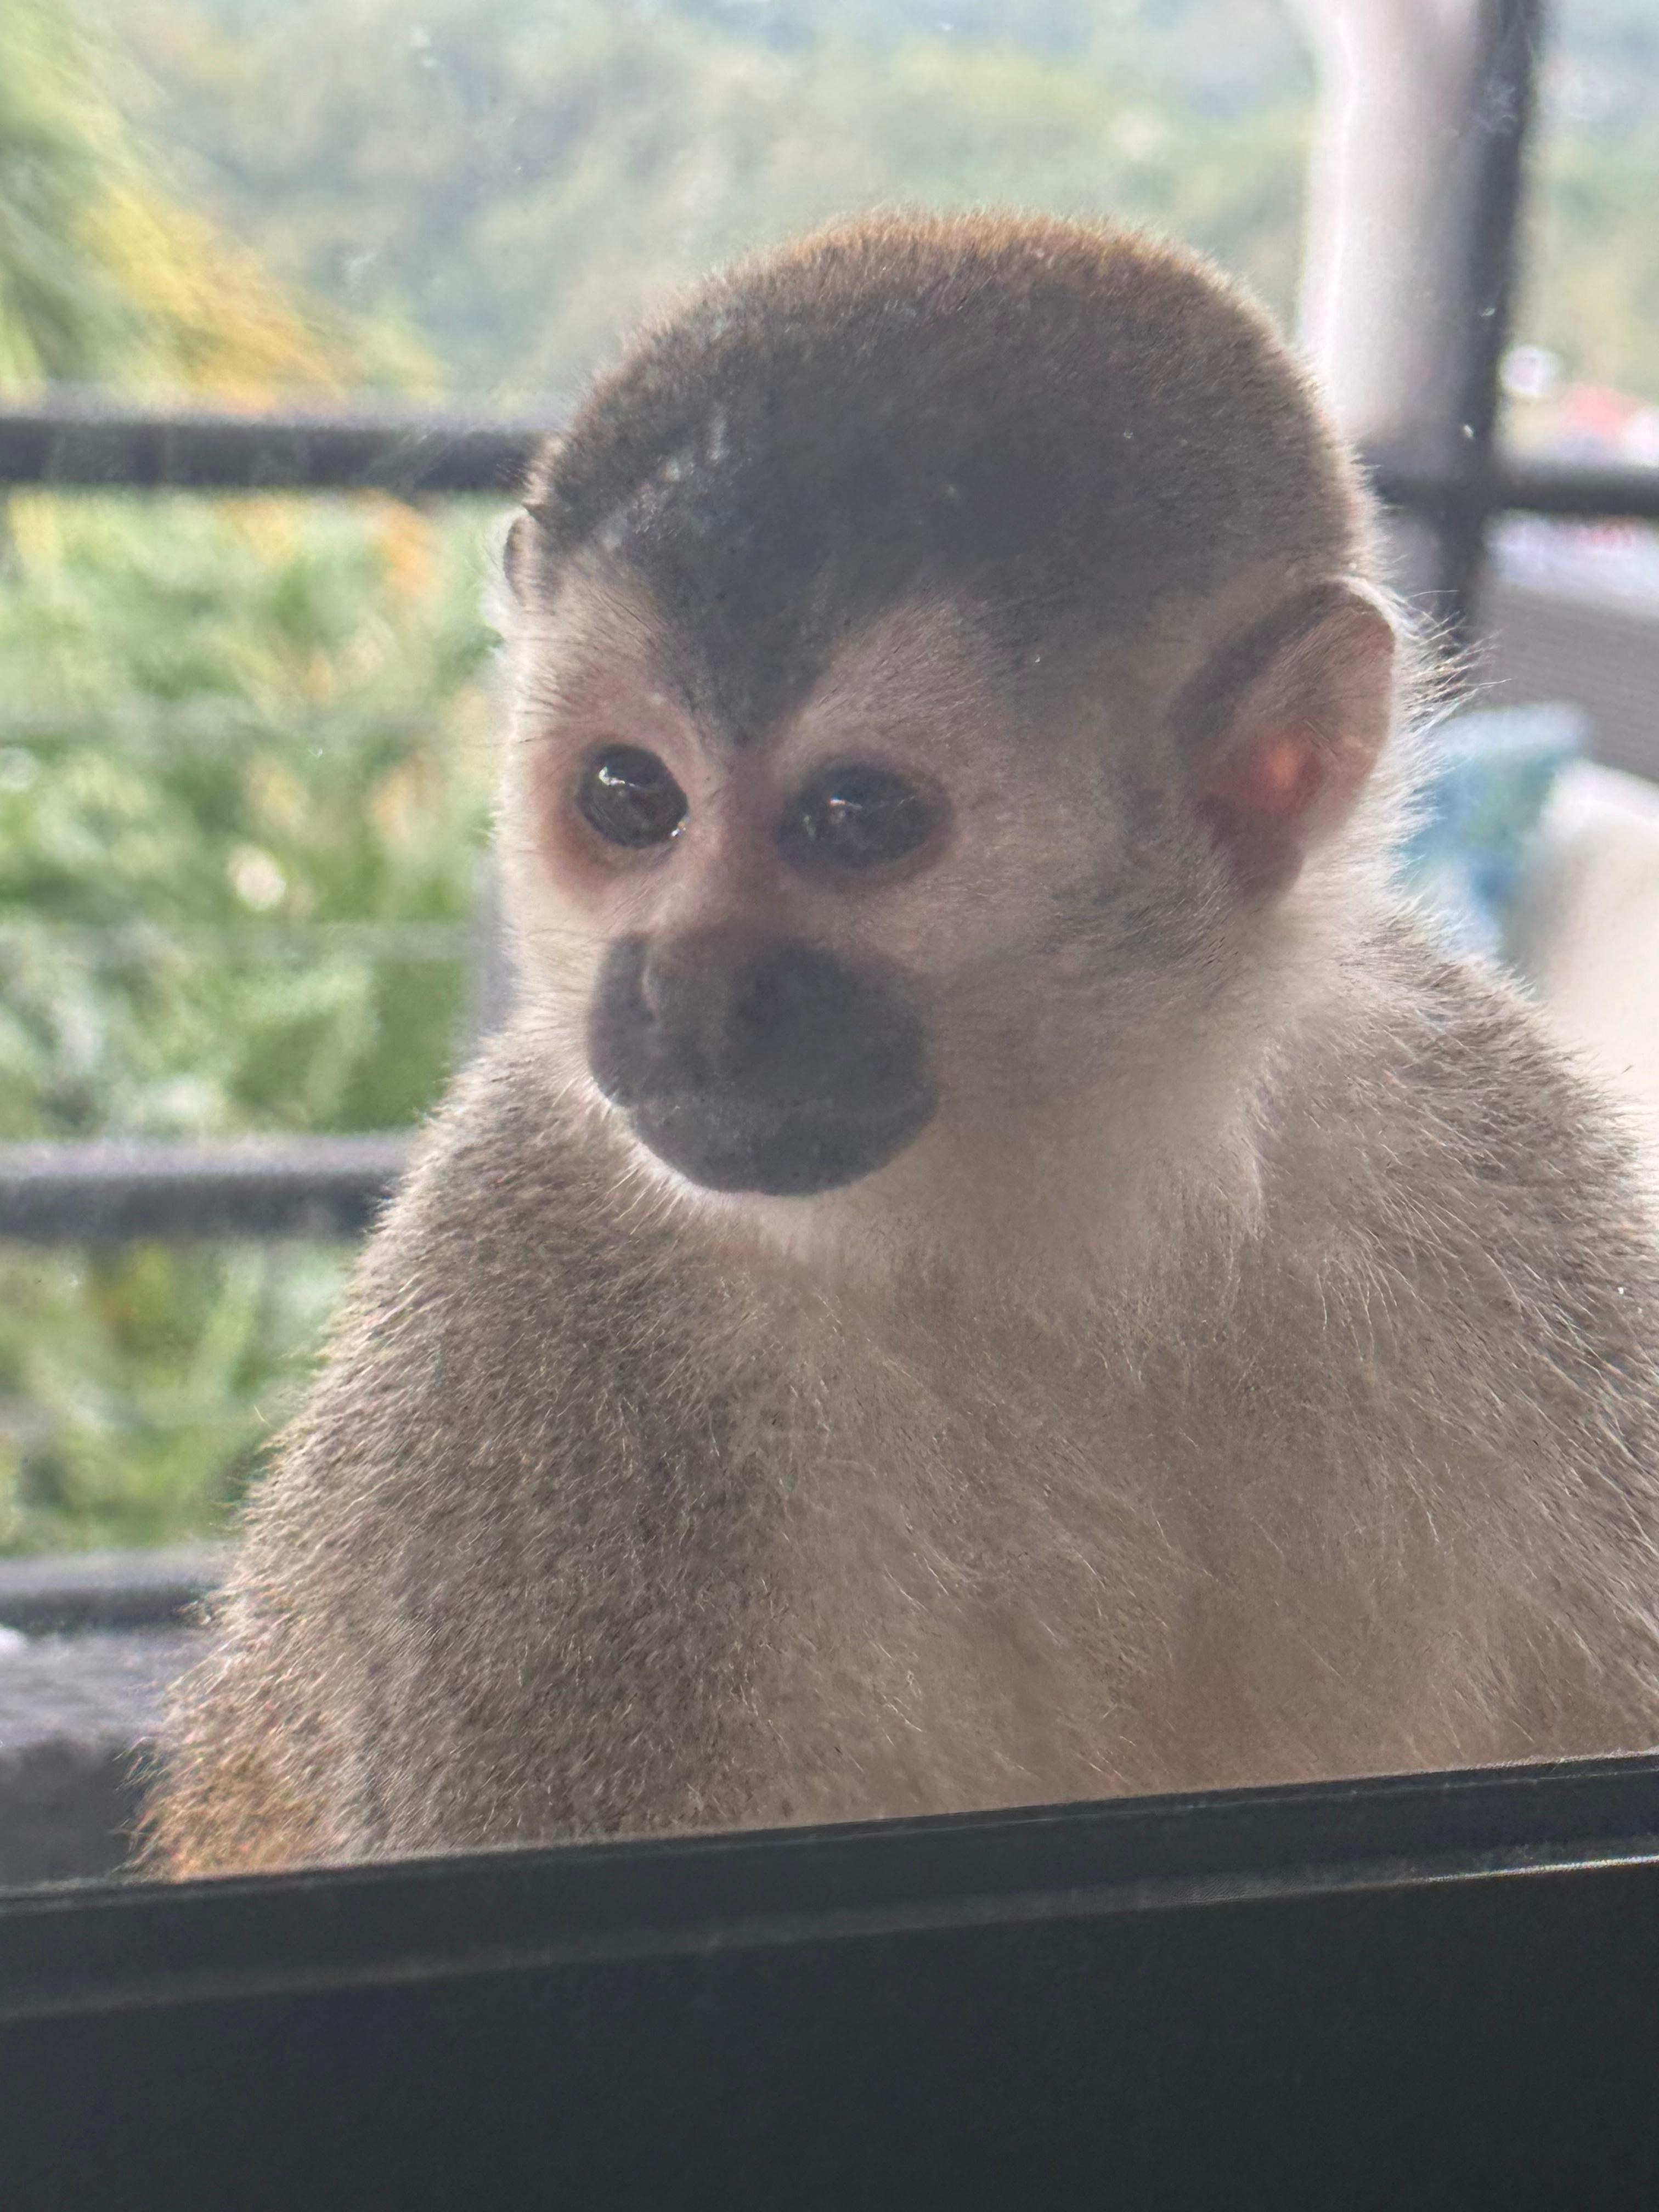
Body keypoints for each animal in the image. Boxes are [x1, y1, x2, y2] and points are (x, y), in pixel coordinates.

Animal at [145, 211, 1659, 1878]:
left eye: (856, 817)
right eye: (628, 796)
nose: (688, 994)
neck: (1059, 1226)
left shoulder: (1481, 1145)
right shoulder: (525, 1333)